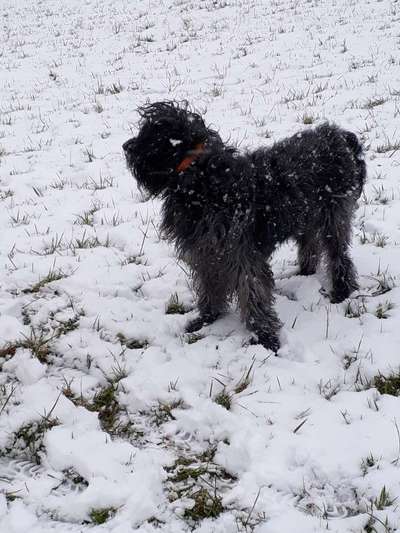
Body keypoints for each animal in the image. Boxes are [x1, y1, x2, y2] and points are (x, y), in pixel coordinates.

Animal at [123, 101, 368, 352]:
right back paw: (305, 271)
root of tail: (340, 136)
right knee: (310, 244)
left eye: (149, 133)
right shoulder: (206, 253)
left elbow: (252, 293)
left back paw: (341, 290)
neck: (201, 181)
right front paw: (207, 318)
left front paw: (266, 337)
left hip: (334, 217)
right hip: (306, 216)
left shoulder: (241, 254)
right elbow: (209, 286)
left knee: (338, 254)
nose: (126, 147)